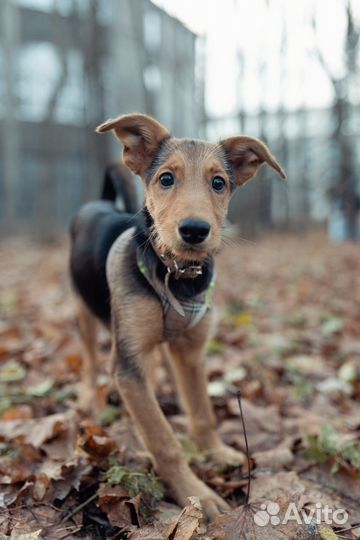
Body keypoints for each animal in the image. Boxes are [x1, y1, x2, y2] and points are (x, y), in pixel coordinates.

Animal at [69, 113, 286, 520]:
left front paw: (216, 453)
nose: (195, 230)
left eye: (219, 183)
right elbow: (163, 439)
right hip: (84, 310)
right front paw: (194, 493)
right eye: (166, 179)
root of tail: (100, 203)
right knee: (89, 359)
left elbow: (202, 412)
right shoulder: (127, 363)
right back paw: (90, 398)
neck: (176, 274)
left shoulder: (192, 352)